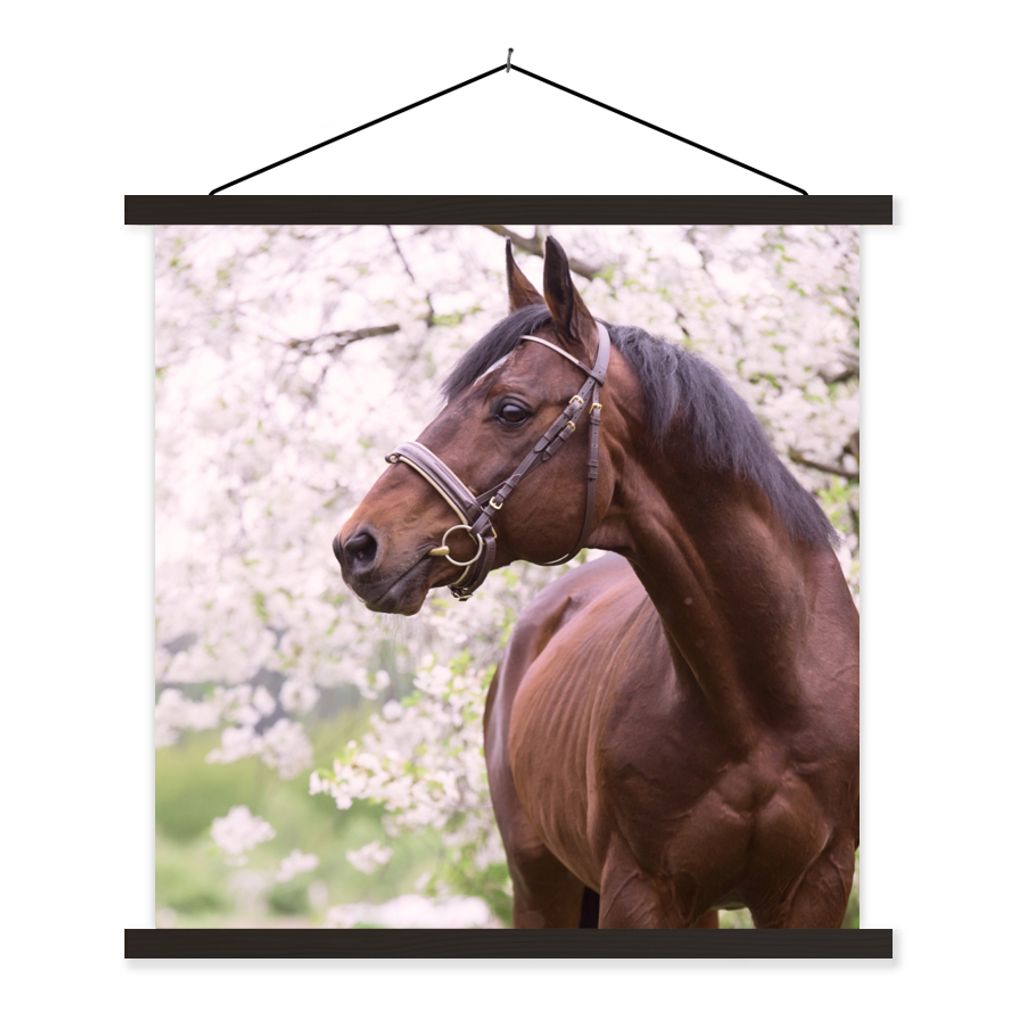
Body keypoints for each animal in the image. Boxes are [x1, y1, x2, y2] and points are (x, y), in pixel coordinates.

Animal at [334, 236, 859, 928]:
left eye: (510, 409)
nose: (356, 546)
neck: (765, 693)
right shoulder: (639, 891)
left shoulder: (816, 887)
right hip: (541, 884)